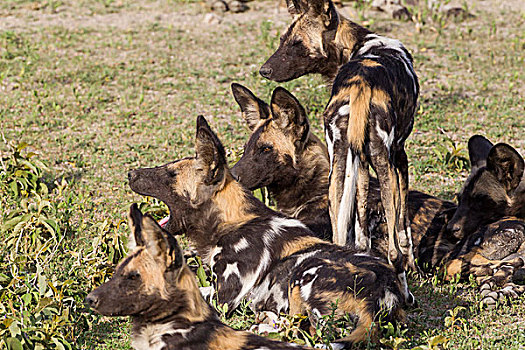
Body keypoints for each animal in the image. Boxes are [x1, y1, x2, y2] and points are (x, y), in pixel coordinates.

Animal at [129, 116, 408, 346]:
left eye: (170, 174)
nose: (131, 173)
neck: (232, 222)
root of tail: (382, 293)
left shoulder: (223, 298)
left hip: (303, 274)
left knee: (305, 331)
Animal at [260, 0, 420, 298]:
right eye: (284, 41)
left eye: (294, 43)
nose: (264, 70)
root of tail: (361, 83)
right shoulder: (399, 157)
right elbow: (403, 228)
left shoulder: (358, 164)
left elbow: (360, 227)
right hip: (386, 166)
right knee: (394, 250)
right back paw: (407, 294)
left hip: (338, 170)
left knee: (337, 238)